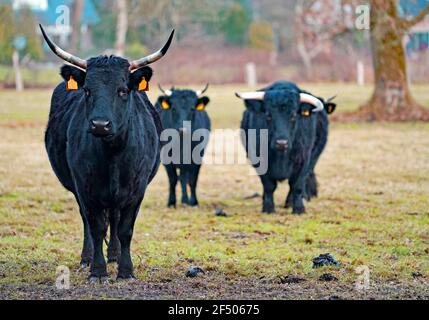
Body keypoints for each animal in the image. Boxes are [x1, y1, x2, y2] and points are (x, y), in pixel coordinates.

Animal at [40, 24, 174, 280]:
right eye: (87, 90)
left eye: (122, 91)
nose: (100, 124)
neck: (112, 155)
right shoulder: (85, 187)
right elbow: (95, 226)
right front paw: (98, 270)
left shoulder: (137, 189)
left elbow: (125, 229)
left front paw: (125, 270)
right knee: (90, 220)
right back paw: (88, 257)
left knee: (114, 216)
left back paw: (114, 254)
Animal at [236, 80, 336, 215]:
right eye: (268, 115)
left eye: (293, 115)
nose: (281, 143)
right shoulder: (259, 160)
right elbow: (269, 186)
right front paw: (268, 208)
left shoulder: (303, 160)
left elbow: (297, 185)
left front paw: (298, 208)